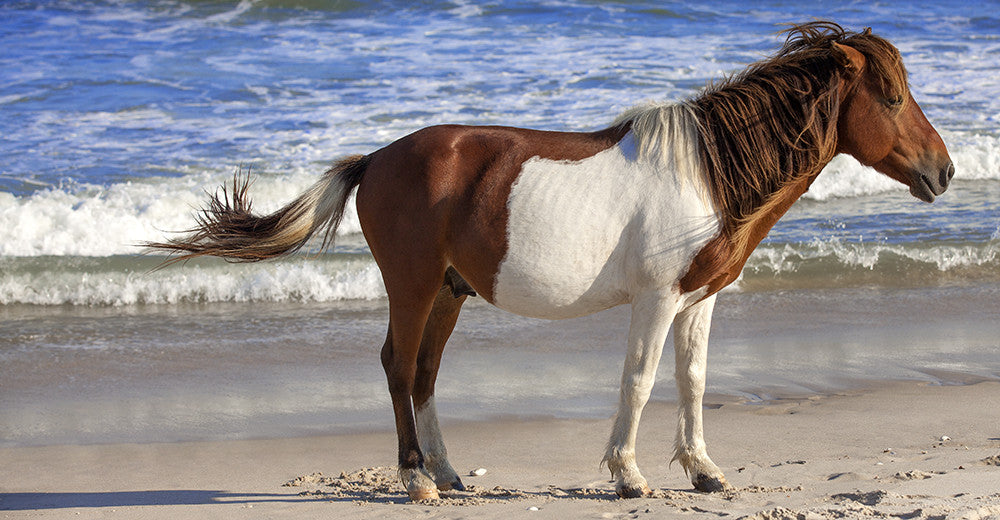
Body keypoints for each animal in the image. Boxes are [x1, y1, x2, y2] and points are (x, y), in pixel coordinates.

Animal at [148, 21, 953, 501]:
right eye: (891, 95)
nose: (942, 173)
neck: (708, 171)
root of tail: (376, 159)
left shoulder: (699, 300)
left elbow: (691, 381)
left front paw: (704, 470)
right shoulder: (656, 300)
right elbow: (640, 380)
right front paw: (628, 475)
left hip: (449, 292)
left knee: (425, 374)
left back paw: (448, 473)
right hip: (414, 286)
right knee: (399, 368)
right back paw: (416, 480)